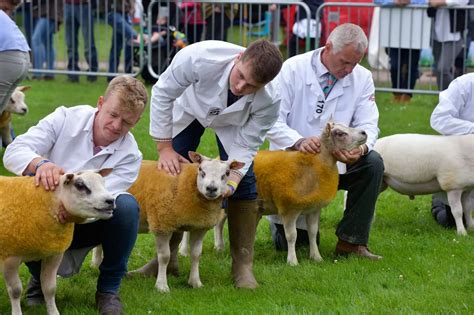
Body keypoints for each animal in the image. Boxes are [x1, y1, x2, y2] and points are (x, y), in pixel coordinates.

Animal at [0, 170, 114, 315]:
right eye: (80, 185)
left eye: (104, 182)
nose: (110, 200)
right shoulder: (10, 257)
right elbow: (15, 291)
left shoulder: (54, 254)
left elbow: (50, 288)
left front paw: (53, 312)